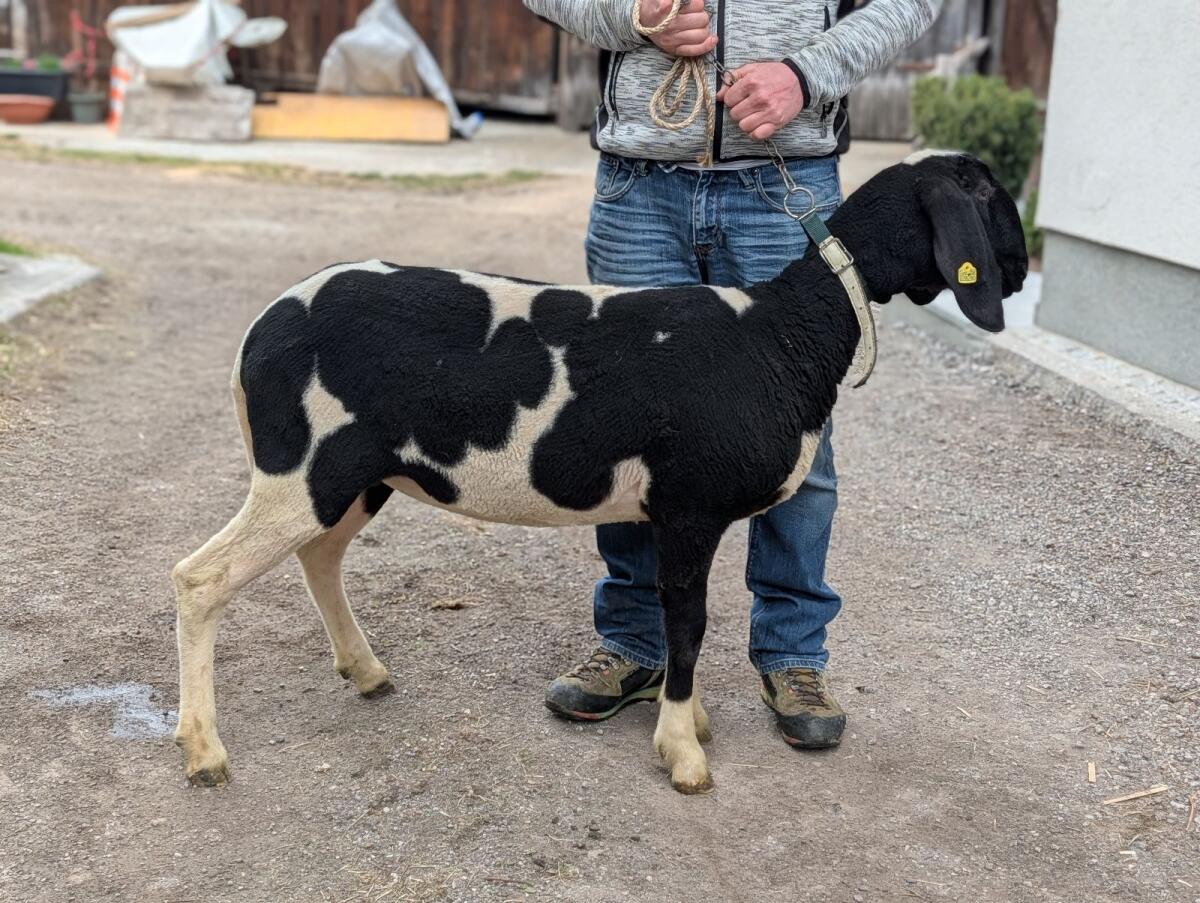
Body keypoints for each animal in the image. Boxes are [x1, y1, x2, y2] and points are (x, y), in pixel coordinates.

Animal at [172, 151, 1027, 794]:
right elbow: (688, 625)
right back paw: (205, 750)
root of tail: (258, 333)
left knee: (318, 556)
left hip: (354, 474)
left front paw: (692, 724)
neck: (784, 332)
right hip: (302, 470)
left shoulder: (674, 512)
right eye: (988, 194)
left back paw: (366, 670)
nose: (1018, 272)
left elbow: (688, 623)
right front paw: (684, 752)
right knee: (200, 579)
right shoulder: (689, 505)